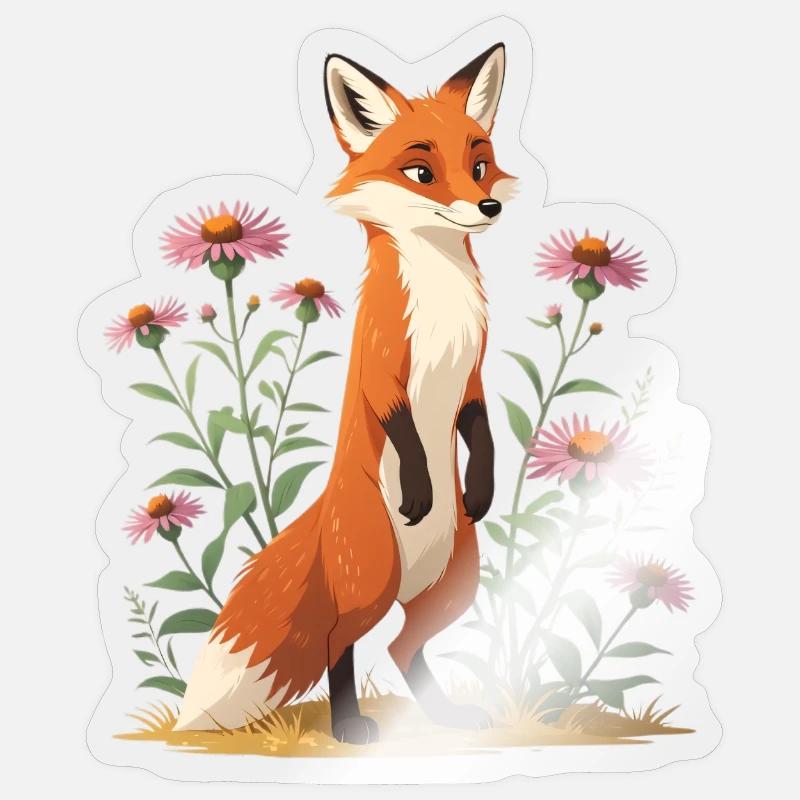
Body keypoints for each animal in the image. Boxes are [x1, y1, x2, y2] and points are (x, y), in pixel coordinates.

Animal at [174, 43, 516, 744]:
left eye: (479, 166)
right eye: (421, 171)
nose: (487, 208)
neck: (441, 299)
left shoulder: (472, 375)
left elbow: (480, 429)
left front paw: (481, 488)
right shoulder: (382, 369)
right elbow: (403, 426)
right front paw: (420, 487)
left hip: (453, 587)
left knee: (402, 648)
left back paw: (442, 715)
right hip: (374, 579)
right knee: (341, 642)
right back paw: (350, 727)